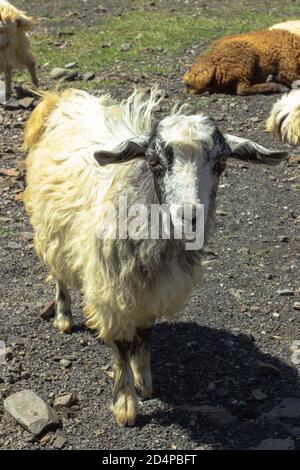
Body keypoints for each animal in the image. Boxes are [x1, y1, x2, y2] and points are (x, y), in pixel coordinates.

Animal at [22, 87, 286, 426]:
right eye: (152, 161)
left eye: (222, 162)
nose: (189, 217)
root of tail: (63, 99)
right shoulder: (115, 290)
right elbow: (122, 345)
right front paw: (125, 404)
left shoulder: (152, 289)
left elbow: (145, 334)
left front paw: (144, 381)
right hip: (50, 229)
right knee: (60, 275)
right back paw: (64, 317)